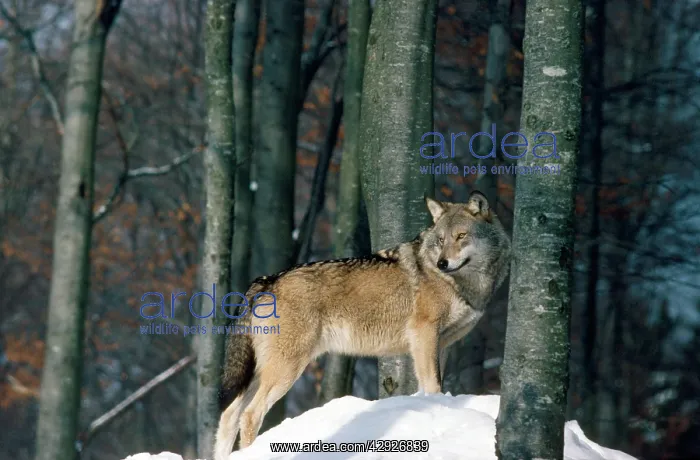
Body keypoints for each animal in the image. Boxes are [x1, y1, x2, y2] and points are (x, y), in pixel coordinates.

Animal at [213, 190, 511, 459]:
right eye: (441, 239)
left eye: (461, 236)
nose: (442, 263)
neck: (464, 285)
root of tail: (265, 281)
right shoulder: (424, 333)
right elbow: (433, 383)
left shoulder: (442, 343)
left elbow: (431, 383)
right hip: (286, 369)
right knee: (250, 414)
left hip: (260, 372)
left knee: (228, 415)